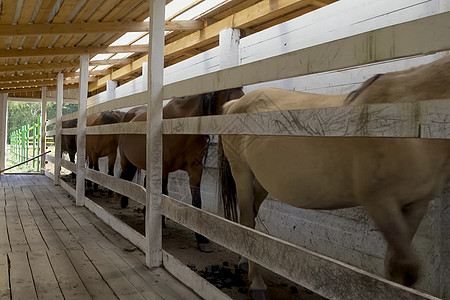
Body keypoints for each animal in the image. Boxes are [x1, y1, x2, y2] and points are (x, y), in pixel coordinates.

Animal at [118, 88, 244, 252]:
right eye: (229, 100)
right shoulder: (163, 169)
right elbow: (163, 193)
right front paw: (161, 226)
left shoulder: (195, 169)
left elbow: (197, 200)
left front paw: (202, 239)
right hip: (125, 160)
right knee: (124, 178)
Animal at [221, 55, 450, 298]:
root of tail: (235, 104)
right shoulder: (379, 201)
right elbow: (404, 269)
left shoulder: (417, 204)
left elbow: (398, 268)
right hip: (241, 171)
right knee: (247, 218)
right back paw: (256, 281)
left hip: (261, 181)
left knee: (251, 216)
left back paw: (244, 259)